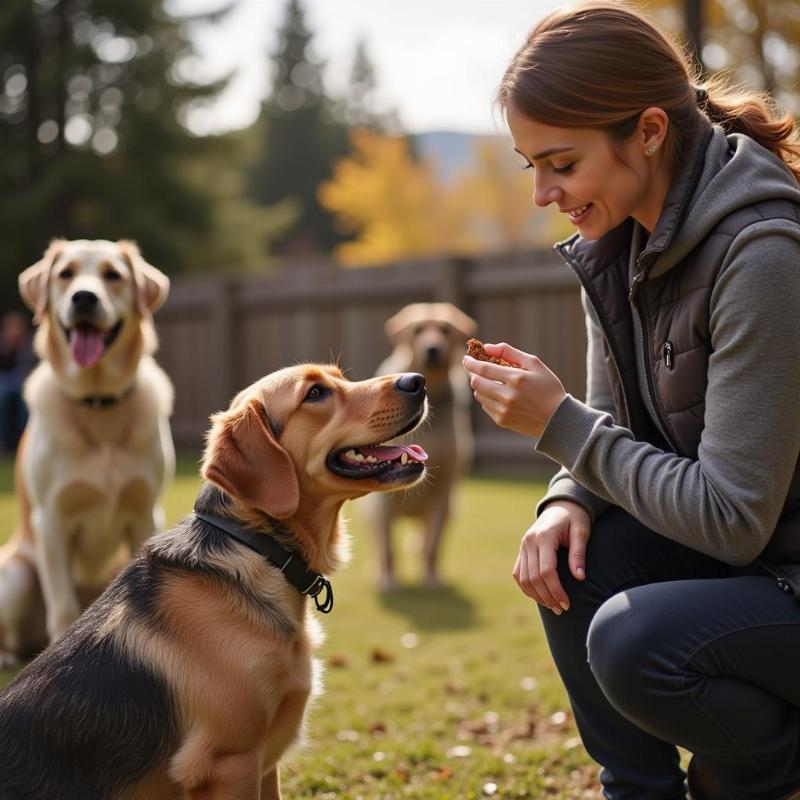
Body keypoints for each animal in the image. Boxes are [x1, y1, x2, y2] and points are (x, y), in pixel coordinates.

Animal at [0, 241, 175, 664]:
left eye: (113, 275)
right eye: (66, 274)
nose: (84, 297)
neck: (99, 408)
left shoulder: (145, 513)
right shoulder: (52, 522)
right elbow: (62, 605)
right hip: (14, 577)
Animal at [0, 366, 428, 800]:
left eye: (340, 377)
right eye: (315, 394)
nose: (417, 380)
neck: (258, 547)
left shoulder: (264, 763)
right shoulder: (228, 763)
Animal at [360, 304, 476, 592]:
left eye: (444, 329)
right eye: (418, 330)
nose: (432, 349)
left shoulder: (443, 490)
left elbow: (432, 546)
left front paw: (431, 579)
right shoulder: (383, 500)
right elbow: (388, 548)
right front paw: (387, 580)